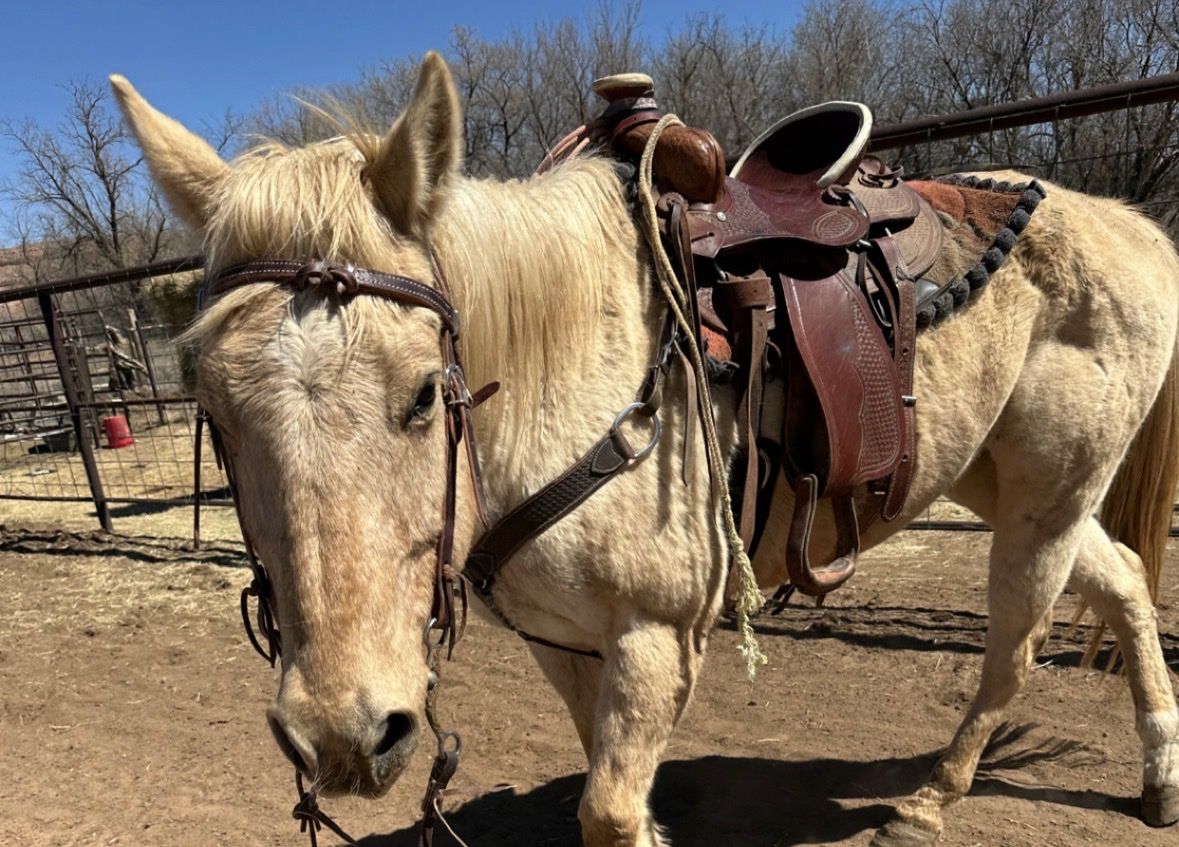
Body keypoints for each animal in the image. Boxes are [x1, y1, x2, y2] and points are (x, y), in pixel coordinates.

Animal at [110, 53, 1179, 846]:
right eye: (213, 407)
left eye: (422, 393)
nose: (342, 734)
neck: (563, 362)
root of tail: (1130, 227)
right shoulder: (563, 644)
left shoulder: (655, 638)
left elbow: (610, 811)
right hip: (1005, 484)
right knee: (1122, 577)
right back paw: (1159, 774)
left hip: (1046, 497)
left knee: (1015, 647)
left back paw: (929, 798)